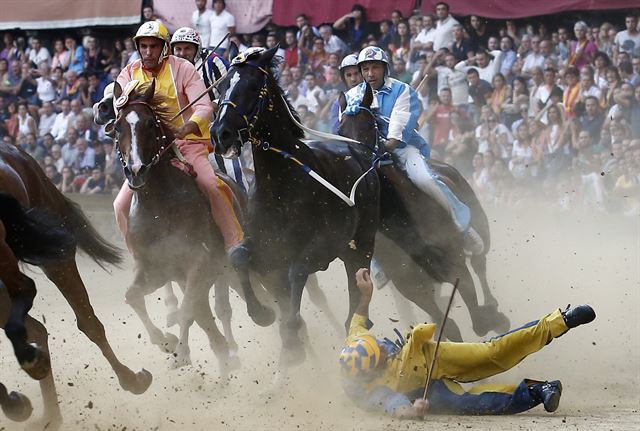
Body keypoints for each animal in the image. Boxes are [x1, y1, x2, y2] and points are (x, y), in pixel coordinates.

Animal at [0, 144, 151, 428]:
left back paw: (131, 379)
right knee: (36, 328)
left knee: (87, 322)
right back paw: (48, 414)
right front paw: (15, 401)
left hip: (54, 253)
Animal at [210, 46, 380, 364]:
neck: (282, 186)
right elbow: (239, 256)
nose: (220, 133)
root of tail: (359, 150)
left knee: (355, 293)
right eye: (224, 86)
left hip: (361, 245)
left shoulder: (319, 248)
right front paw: (261, 313)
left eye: (252, 86)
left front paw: (291, 340)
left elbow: (298, 272)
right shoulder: (265, 251)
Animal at [336, 85, 510, 340]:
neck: (403, 223)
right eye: (340, 131)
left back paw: (493, 304)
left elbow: (477, 318)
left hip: (479, 223)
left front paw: (495, 318)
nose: (356, 165)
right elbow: (449, 325)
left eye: (369, 126)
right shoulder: (411, 286)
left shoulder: (455, 264)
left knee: (480, 262)